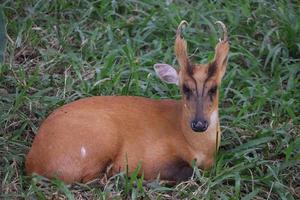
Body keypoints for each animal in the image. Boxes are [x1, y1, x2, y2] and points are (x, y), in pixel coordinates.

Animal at [25, 20, 230, 183]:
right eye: (185, 88)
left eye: (214, 88)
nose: (199, 124)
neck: (197, 146)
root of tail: (32, 163)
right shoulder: (153, 157)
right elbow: (188, 172)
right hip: (100, 139)